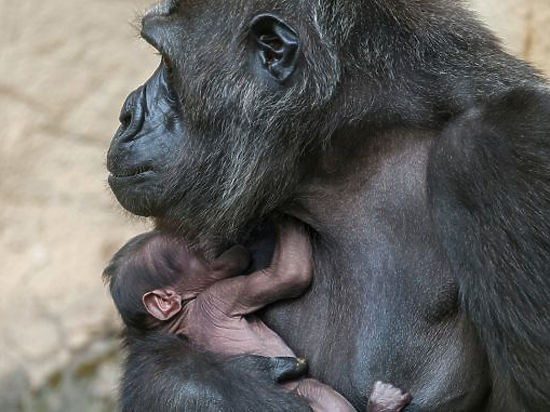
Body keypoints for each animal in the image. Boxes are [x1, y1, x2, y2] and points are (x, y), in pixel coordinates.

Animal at [105, 220, 412, 410]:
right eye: (193, 249)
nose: (207, 240)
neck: (179, 318)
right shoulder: (220, 295)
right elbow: (289, 275)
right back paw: (382, 404)